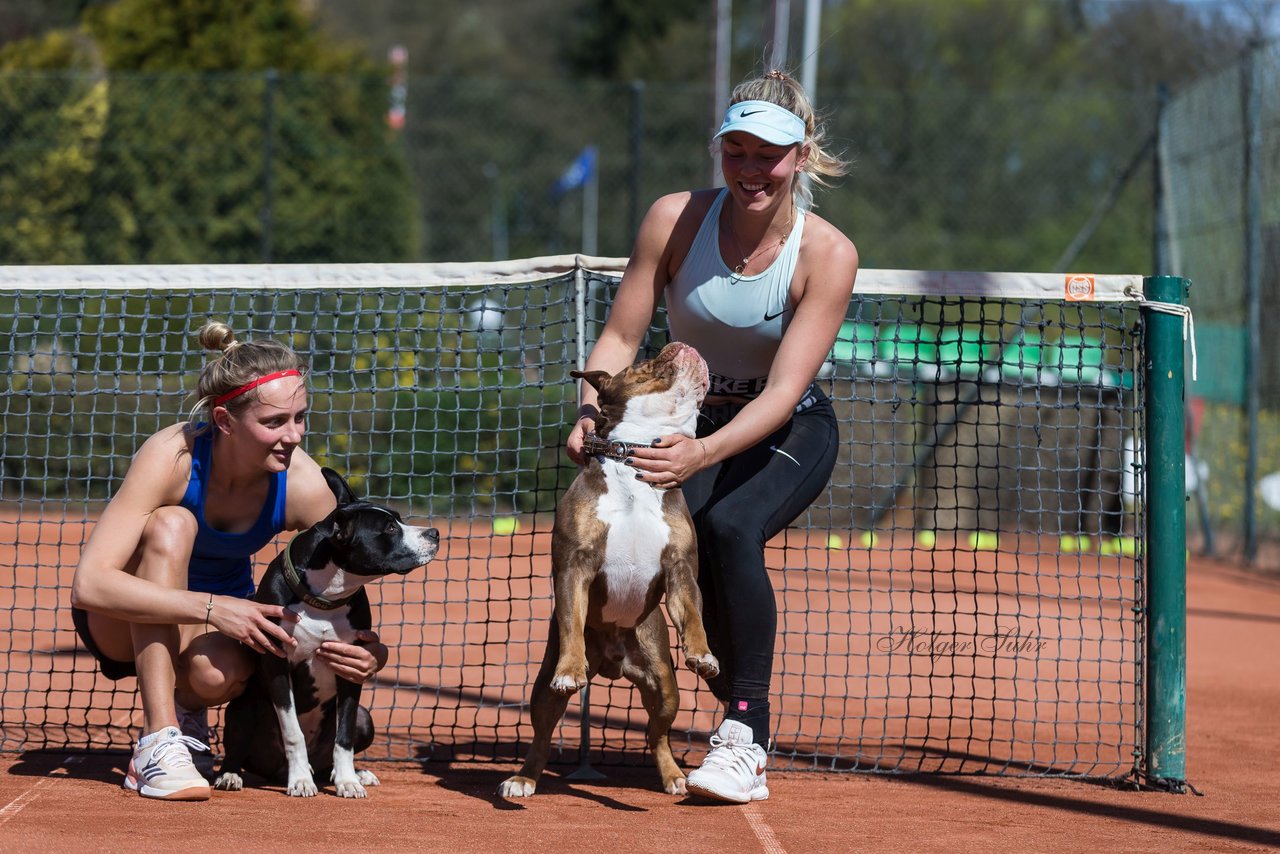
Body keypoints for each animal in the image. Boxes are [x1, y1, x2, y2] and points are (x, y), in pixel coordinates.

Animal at [215, 471, 440, 798]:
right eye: (389, 528)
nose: (435, 533)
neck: (323, 598)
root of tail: (274, 772)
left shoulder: (350, 667)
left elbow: (343, 737)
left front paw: (347, 781)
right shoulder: (276, 664)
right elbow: (292, 731)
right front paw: (299, 781)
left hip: (366, 719)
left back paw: (354, 774)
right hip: (242, 710)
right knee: (238, 748)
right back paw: (233, 774)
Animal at [496, 343, 721, 798]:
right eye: (642, 363)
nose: (681, 344)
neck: (633, 456)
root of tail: (612, 662)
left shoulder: (681, 570)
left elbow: (694, 616)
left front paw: (703, 654)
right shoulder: (574, 565)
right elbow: (571, 619)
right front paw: (570, 671)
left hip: (664, 683)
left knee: (657, 734)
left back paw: (674, 776)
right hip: (542, 693)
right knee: (542, 735)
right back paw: (524, 779)